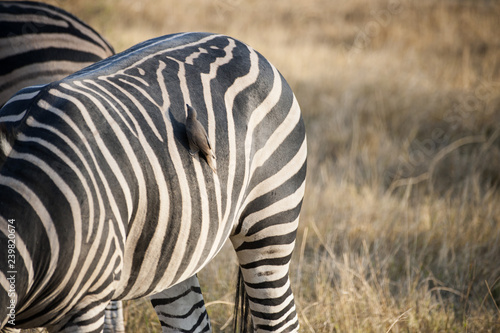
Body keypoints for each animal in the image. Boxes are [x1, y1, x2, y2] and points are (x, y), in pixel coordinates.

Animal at [0, 30, 306, 330]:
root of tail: (240, 43)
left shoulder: (85, 305)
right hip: (169, 250)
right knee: (191, 321)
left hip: (271, 222)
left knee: (281, 317)